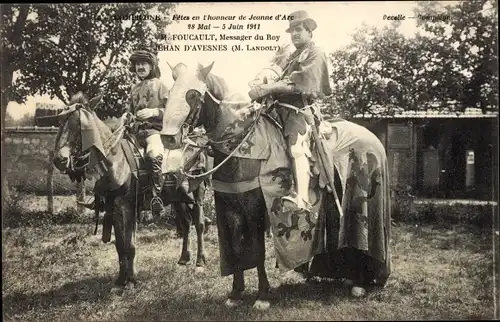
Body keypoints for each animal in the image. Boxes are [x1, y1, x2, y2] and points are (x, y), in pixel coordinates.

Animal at [53, 92, 210, 288]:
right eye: (60, 122)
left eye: (80, 125)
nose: (59, 160)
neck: (116, 163)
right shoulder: (114, 209)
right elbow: (121, 246)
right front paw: (121, 280)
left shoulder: (128, 207)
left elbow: (130, 245)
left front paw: (132, 280)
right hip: (178, 197)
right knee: (187, 223)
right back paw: (184, 258)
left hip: (198, 192)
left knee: (199, 223)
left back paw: (200, 261)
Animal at [163, 62, 390, 310]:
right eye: (169, 93)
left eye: (192, 94)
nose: (168, 138)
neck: (243, 147)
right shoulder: (230, 208)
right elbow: (237, 250)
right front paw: (235, 293)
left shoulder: (254, 210)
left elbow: (257, 252)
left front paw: (262, 295)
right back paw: (350, 277)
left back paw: (359, 284)